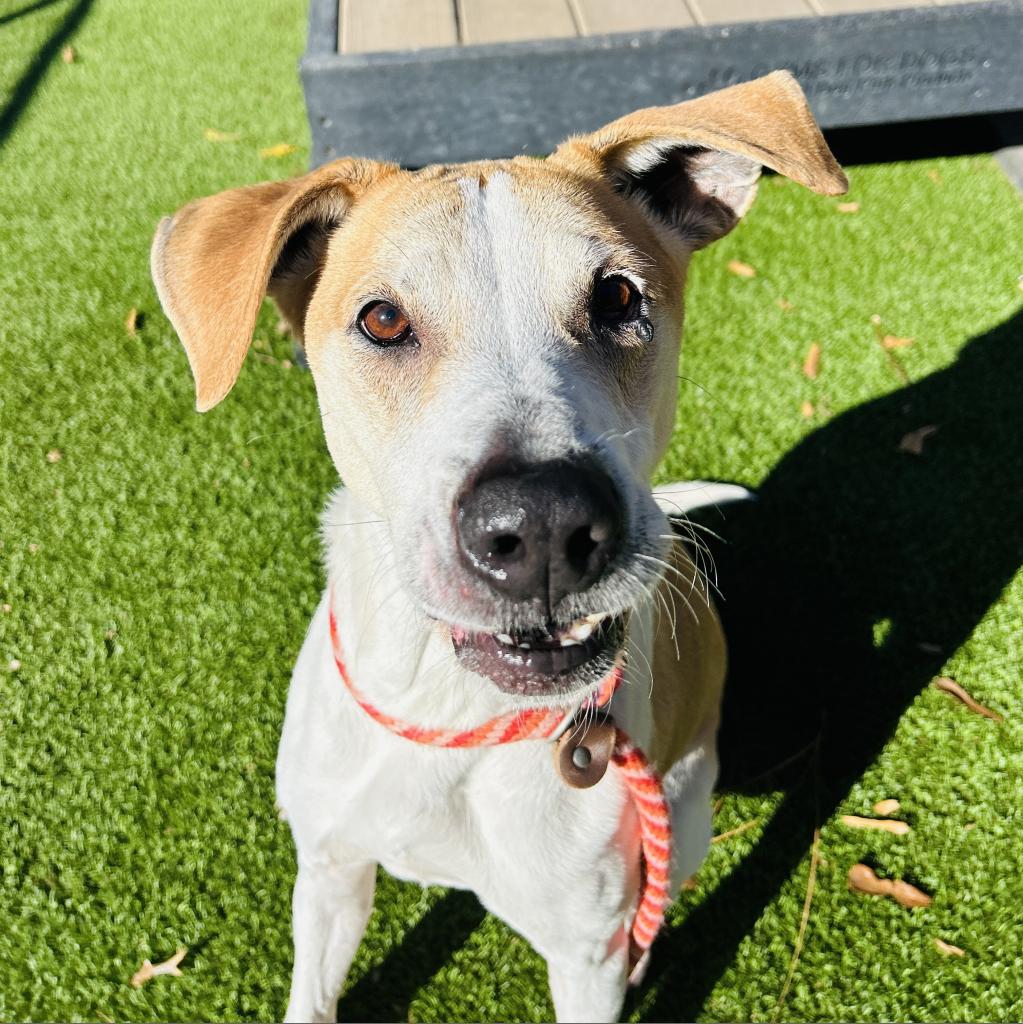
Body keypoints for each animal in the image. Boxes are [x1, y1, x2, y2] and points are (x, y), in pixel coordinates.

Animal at [148, 72, 843, 1024]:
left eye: (618, 298)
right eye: (381, 319)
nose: (544, 525)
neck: (449, 713)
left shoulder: (587, 956)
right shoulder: (327, 871)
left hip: (687, 815)